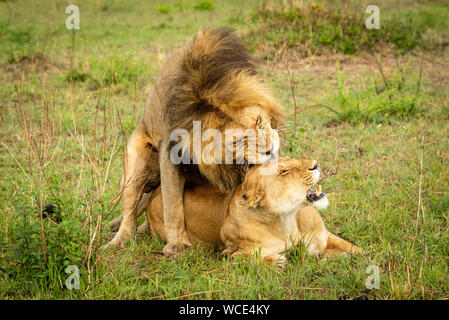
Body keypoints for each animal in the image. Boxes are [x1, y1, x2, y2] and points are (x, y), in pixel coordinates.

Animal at [105, 28, 284, 258]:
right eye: (239, 141)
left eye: (259, 121)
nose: (270, 150)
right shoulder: (170, 152)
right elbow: (172, 206)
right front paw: (177, 245)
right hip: (134, 170)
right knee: (130, 213)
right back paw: (118, 241)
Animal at [145, 158, 362, 264]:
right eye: (284, 171)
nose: (315, 165)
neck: (287, 220)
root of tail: (156, 190)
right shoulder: (231, 253)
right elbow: (250, 259)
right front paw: (277, 261)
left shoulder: (323, 236)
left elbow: (354, 249)